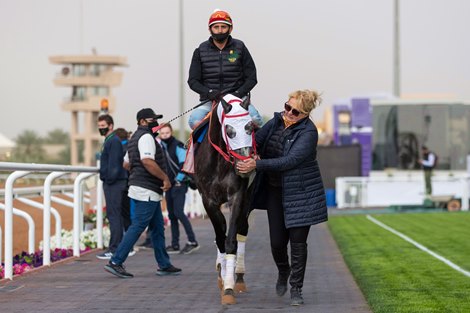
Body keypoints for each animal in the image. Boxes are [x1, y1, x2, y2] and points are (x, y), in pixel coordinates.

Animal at [192, 94, 255, 304]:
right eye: (229, 130)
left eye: (250, 127)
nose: (245, 164)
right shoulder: (208, 200)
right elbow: (220, 238)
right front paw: (222, 278)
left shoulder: (237, 196)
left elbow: (230, 240)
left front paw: (229, 287)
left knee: (242, 229)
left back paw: (239, 277)